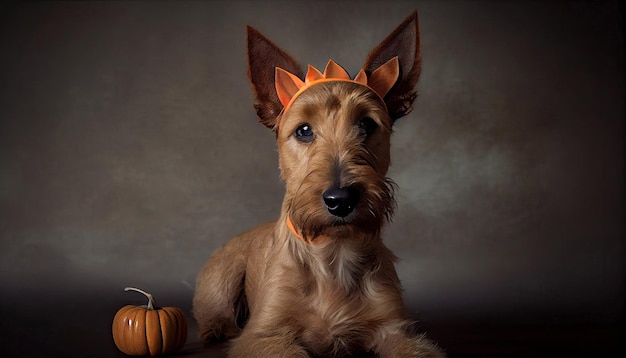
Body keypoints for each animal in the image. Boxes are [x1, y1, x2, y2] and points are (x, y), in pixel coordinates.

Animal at [193, 11, 442, 358]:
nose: (340, 200)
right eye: (304, 130)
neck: (333, 254)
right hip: (223, 278)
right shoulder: (264, 334)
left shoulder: (396, 329)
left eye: (366, 124)